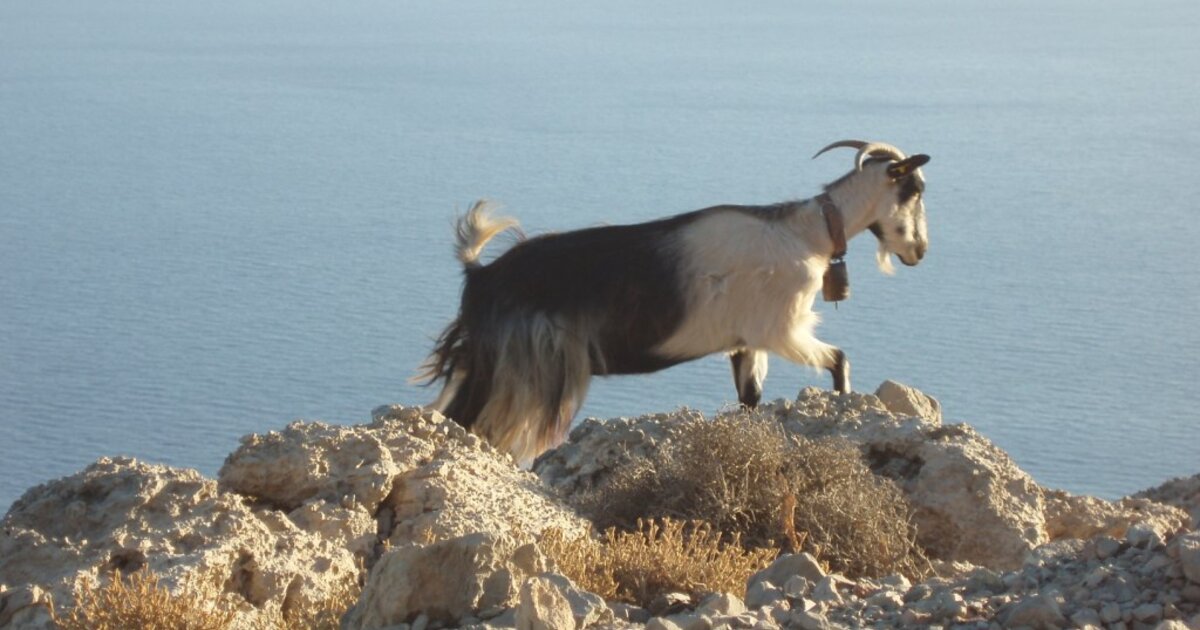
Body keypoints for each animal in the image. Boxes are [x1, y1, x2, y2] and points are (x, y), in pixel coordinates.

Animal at [418, 140, 931, 463]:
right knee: (469, 421)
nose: (919, 251)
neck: (808, 233)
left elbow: (750, 400)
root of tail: (481, 275)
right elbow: (839, 360)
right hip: (516, 370)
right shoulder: (782, 330)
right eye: (914, 189)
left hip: (486, 364)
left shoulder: (746, 343)